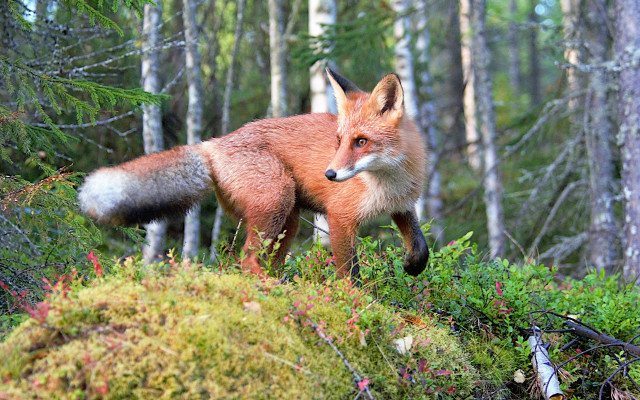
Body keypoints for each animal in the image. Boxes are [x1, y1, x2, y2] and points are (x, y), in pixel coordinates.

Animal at [78, 69, 429, 278]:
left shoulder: (403, 205)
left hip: (287, 220)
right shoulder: (340, 217)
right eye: (339, 141)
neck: (387, 184)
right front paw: (355, 302)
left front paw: (413, 266)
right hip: (278, 199)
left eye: (361, 142)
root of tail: (213, 144)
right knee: (246, 261)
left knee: (262, 261)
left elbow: (420, 244)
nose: (329, 174)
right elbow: (349, 273)